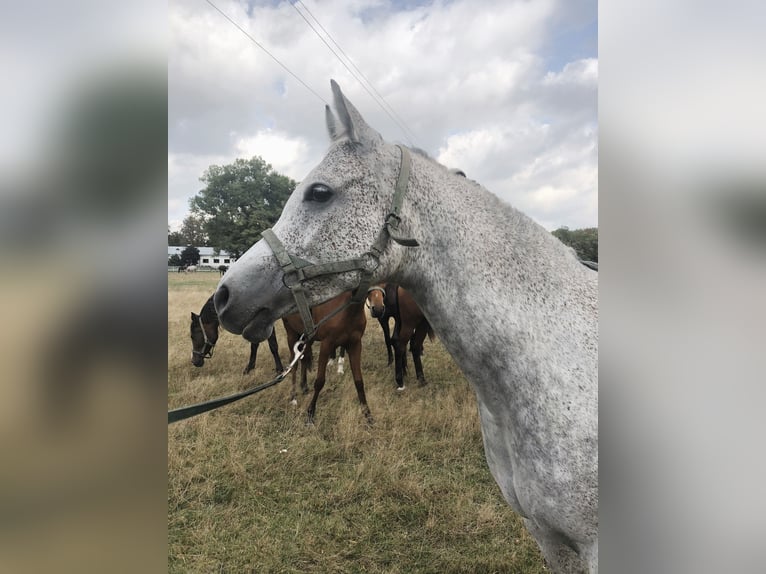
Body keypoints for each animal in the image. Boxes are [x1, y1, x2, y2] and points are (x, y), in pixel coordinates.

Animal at [284, 294, 374, 426]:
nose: (378, 309)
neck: (348, 309)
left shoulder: (355, 345)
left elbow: (359, 382)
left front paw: (368, 415)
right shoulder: (326, 345)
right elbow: (319, 382)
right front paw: (310, 414)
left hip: (307, 338)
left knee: (304, 359)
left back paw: (304, 387)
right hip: (292, 335)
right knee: (293, 365)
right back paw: (293, 398)